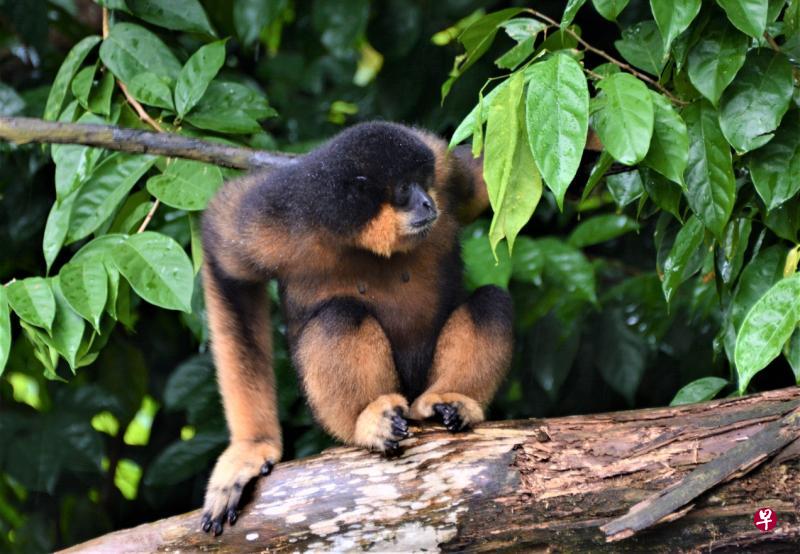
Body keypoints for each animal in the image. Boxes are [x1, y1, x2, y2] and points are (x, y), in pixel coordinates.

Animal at [199, 122, 513, 535]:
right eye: (404, 188)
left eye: (423, 182)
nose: (427, 203)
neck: (356, 237)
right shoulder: (274, 217)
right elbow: (225, 263)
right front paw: (251, 448)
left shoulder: (444, 171)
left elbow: (490, 177)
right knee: (340, 315)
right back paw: (366, 421)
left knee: (490, 301)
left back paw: (447, 400)